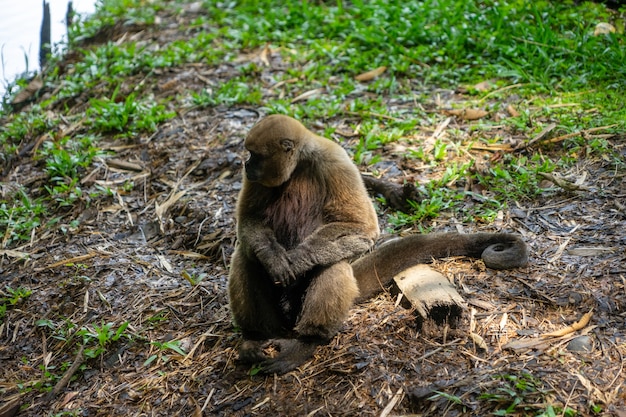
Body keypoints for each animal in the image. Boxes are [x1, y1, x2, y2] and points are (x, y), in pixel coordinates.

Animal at [227, 114, 524, 374]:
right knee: (247, 256)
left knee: (332, 263)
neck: (298, 164)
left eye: (255, 155)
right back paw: (256, 336)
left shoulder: (334, 161)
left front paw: (298, 260)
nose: (246, 165)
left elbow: (363, 229)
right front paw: (275, 259)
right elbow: (249, 222)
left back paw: (306, 341)